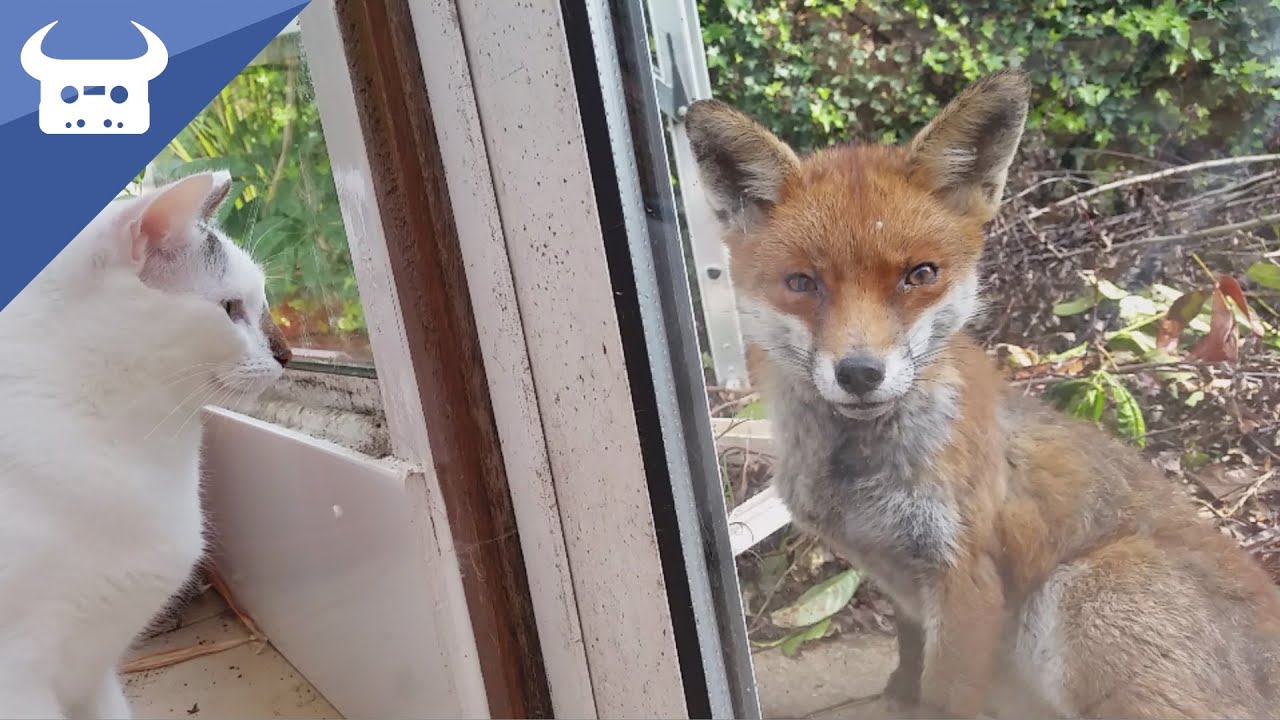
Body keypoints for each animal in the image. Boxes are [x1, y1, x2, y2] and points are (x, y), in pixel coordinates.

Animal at [685, 71, 1280, 719]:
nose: (861, 373)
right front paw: (898, 693)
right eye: (801, 283)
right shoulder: (903, 585)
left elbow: (943, 699)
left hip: (1085, 595)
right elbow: (909, 658)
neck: (861, 479)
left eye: (919, 275)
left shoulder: (966, 579)